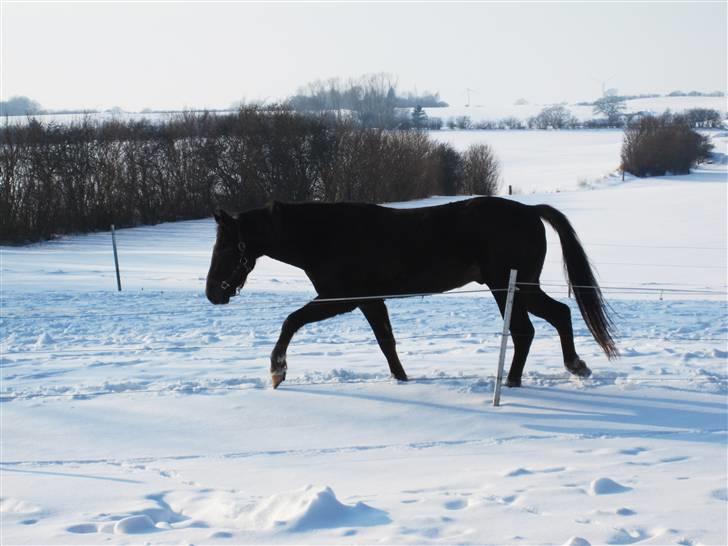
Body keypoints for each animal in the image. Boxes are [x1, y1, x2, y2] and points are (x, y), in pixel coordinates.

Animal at [208, 198, 616, 388]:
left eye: (227, 247)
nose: (213, 293)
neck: (325, 236)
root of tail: (530, 210)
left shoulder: (342, 299)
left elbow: (291, 321)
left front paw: (277, 371)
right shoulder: (370, 301)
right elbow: (387, 342)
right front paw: (402, 380)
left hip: (507, 288)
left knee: (525, 331)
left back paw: (514, 382)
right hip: (523, 287)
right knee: (558, 315)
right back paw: (573, 366)